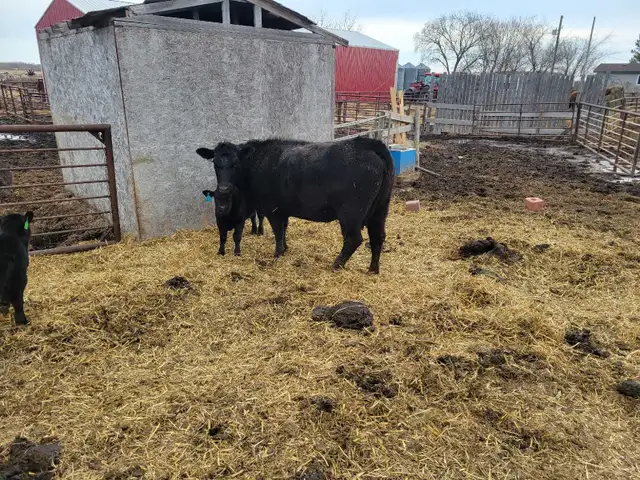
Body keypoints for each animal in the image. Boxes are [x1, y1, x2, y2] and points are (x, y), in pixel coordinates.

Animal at [196, 136, 394, 274]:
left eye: (236, 163)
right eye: (215, 164)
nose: (224, 188)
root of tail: (367, 143)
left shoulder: (272, 209)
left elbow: (277, 231)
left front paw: (277, 254)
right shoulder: (283, 210)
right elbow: (284, 229)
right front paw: (285, 249)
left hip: (351, 212)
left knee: (354, 239)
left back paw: (336, 265)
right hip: (380, 209)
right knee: (378, 237)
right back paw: (372, 270)